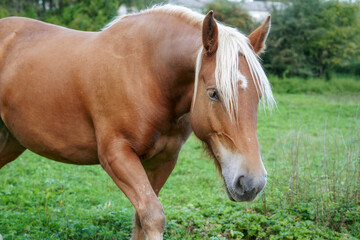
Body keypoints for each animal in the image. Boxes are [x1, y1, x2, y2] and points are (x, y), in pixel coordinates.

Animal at [0, 4, 274, 239]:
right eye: (213, 93)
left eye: (258, 95)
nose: (252, 183)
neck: (148, 73)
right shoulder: (116, 155)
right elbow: (153, 215)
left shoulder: (162, 160)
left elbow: (141, 218)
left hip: (11, 142)